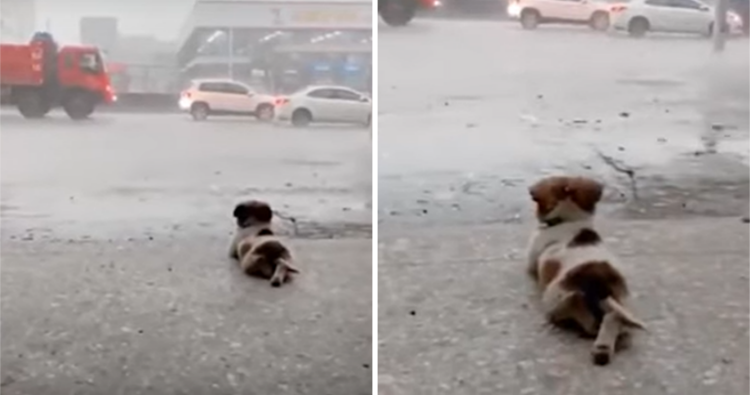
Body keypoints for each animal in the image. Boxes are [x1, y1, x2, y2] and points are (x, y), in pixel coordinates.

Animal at [524, 178, 648, 366]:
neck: (569, 220)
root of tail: (598, 283)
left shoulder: (531, 260)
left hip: (553, 296)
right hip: (623, 303)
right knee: (614, 319)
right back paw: (603, 348)